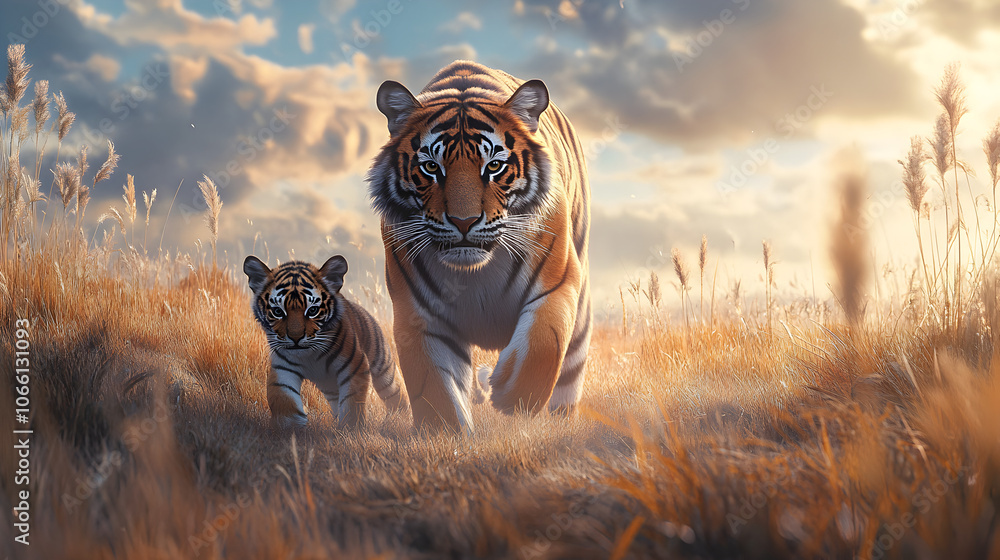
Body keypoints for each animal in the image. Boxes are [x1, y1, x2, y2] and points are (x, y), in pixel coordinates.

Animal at [243, 255, 411, 428]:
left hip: (383, 367)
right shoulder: (283, 368)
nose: (296, 338)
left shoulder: (354, 365)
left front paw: (351, 429)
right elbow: (284, 399)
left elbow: (351, 402)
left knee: (397, 393)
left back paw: (400, 420)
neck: (309, 355)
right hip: (329, 385)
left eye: (312, 310)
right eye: (277, 311)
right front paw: (290, 428)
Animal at [366, 60, 591, 432]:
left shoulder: (557, 283)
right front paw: (446, 434)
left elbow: (543, 344)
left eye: (494, 166)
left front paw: (509, 396)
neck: (476, 272)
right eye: (431, 167)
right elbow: (436, 392)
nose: (463, 222)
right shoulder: (419, 313)